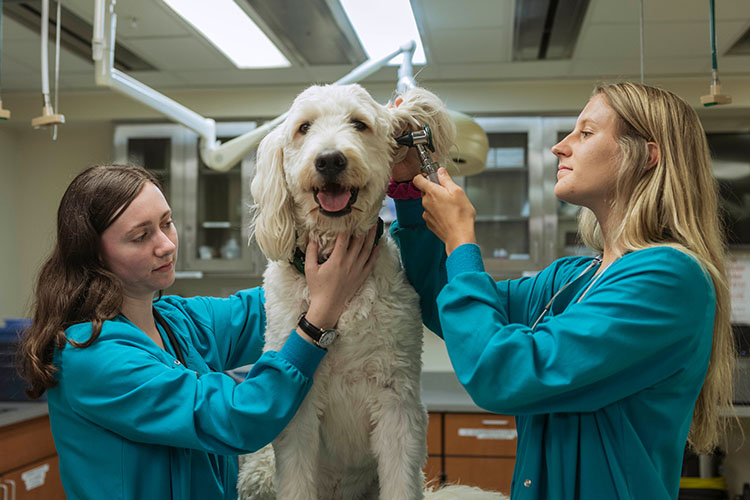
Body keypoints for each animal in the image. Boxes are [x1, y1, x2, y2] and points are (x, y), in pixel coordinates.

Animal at [238, 84, 458, 500]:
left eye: (359, 123)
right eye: (303, 127)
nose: (329, 160)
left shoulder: (397, 400)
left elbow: (400, 482)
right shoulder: (297, 410)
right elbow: (296, 483)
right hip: (259, 472)